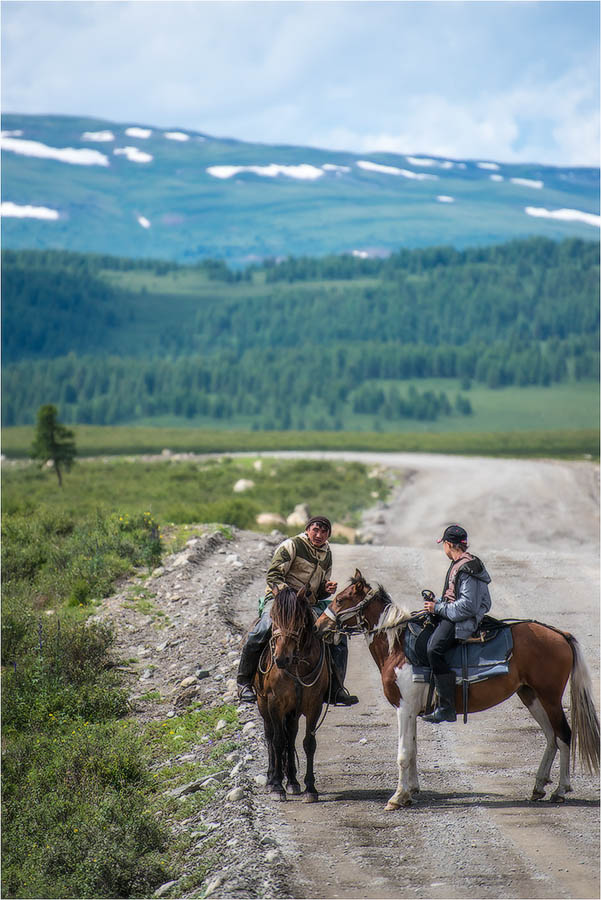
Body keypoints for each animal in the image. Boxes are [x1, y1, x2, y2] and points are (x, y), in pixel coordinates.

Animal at [252, 588, 328, 804]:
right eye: (274, 619)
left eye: (298, 620)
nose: (280, 659)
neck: (295, 665)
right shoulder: (274, 703)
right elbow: (278, 742)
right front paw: (277, 787)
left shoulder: (314, 705)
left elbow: (308, 743)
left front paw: (310, 788)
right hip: (263, 703)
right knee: (270, 736)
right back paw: (271, 779)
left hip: (293, 710)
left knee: (291, 735)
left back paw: (293, 781)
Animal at [316, 572, 596, 812]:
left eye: (340, 599)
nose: (319, 626)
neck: (399, 647)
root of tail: (560, 634)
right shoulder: (411, 710)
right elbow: (413, 750)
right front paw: (411, 792)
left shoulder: (404, 708)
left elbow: (403, 754)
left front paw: (397, 797)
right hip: (531, 696)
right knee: (551, 737)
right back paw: (539, 786)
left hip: (550, 698)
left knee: (564, 735)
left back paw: (561, 790)